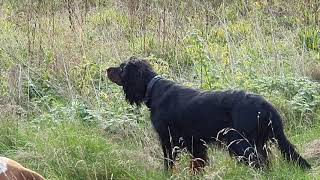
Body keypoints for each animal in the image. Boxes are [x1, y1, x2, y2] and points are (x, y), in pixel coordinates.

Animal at [107, 57, 310, 171]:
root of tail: (266, 105)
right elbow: (196, 167)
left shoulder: (168, 140)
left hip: (240, 142)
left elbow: (168, 164)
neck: (154, 90)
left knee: (259, 163)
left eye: (121, 68)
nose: (106, 69)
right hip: (257, 142)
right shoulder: (196, 144)